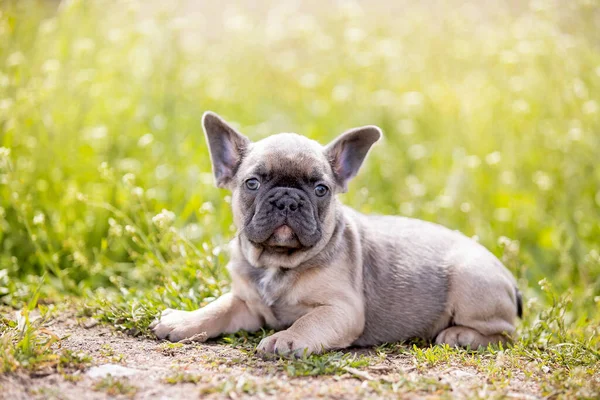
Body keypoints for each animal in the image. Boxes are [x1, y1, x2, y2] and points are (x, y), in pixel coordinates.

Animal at [152, 112, 524, 356]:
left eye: (321, 189)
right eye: (252, 183)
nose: (288, 200)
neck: (278, 263)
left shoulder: (341, 309)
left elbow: (309, 321)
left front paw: (286, 339)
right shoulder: (247, 303)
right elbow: (218, 307)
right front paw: (185, 320)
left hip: (470, 281)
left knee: (505, 335)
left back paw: (460, 335)